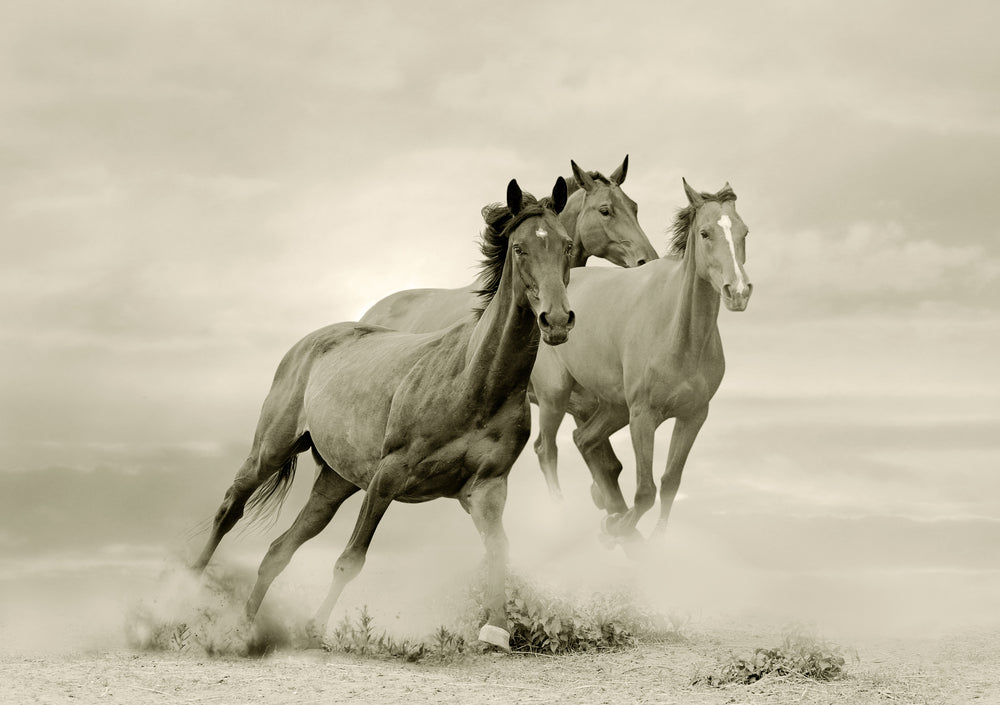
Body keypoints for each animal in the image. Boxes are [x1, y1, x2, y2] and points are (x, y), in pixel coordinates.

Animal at [190, 176, 576, 648]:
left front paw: (495, 633)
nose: (556, 321)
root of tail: (310, 341)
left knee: (278, 551)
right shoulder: (388, 477)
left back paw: (245, 629)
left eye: (566, 245)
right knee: (229, 510)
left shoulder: (487, 489)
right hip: (270, 451)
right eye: (520, 247)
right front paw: (315, 628)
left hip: (334, 483)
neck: (474, 382)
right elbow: (350, 559)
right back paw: (180, 598)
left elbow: (499, 551)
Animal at [532, 179, 752, 540]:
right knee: (546, 449)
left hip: (612, 407)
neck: (679, 335)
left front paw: (649, 539)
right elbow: (645, 491)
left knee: (585, 442)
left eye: (744, 232)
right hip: (555, 397)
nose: (738, 292)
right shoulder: (643, 416)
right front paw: (617, 529)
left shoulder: (693, 416)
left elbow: (670, 482)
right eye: (705, 233)